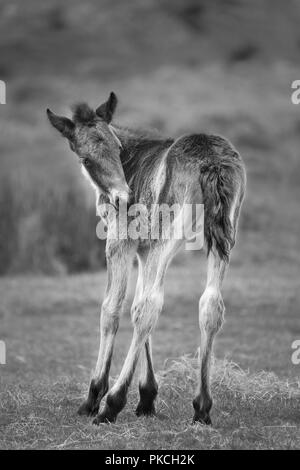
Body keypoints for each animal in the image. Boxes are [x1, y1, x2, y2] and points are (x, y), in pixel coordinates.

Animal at [47, 92, 246, 426]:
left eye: (117, 148)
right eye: (87, 159)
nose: (124, 198)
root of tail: (212, 161)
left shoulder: (120, 243)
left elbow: (112, 309)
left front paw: (94, 396)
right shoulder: (143, 248)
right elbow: (136, 303)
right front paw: (147, 397)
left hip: (169, 234)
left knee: (150, 306)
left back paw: (111, 404)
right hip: (224, 235)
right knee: (208, 305)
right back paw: (201, 407)